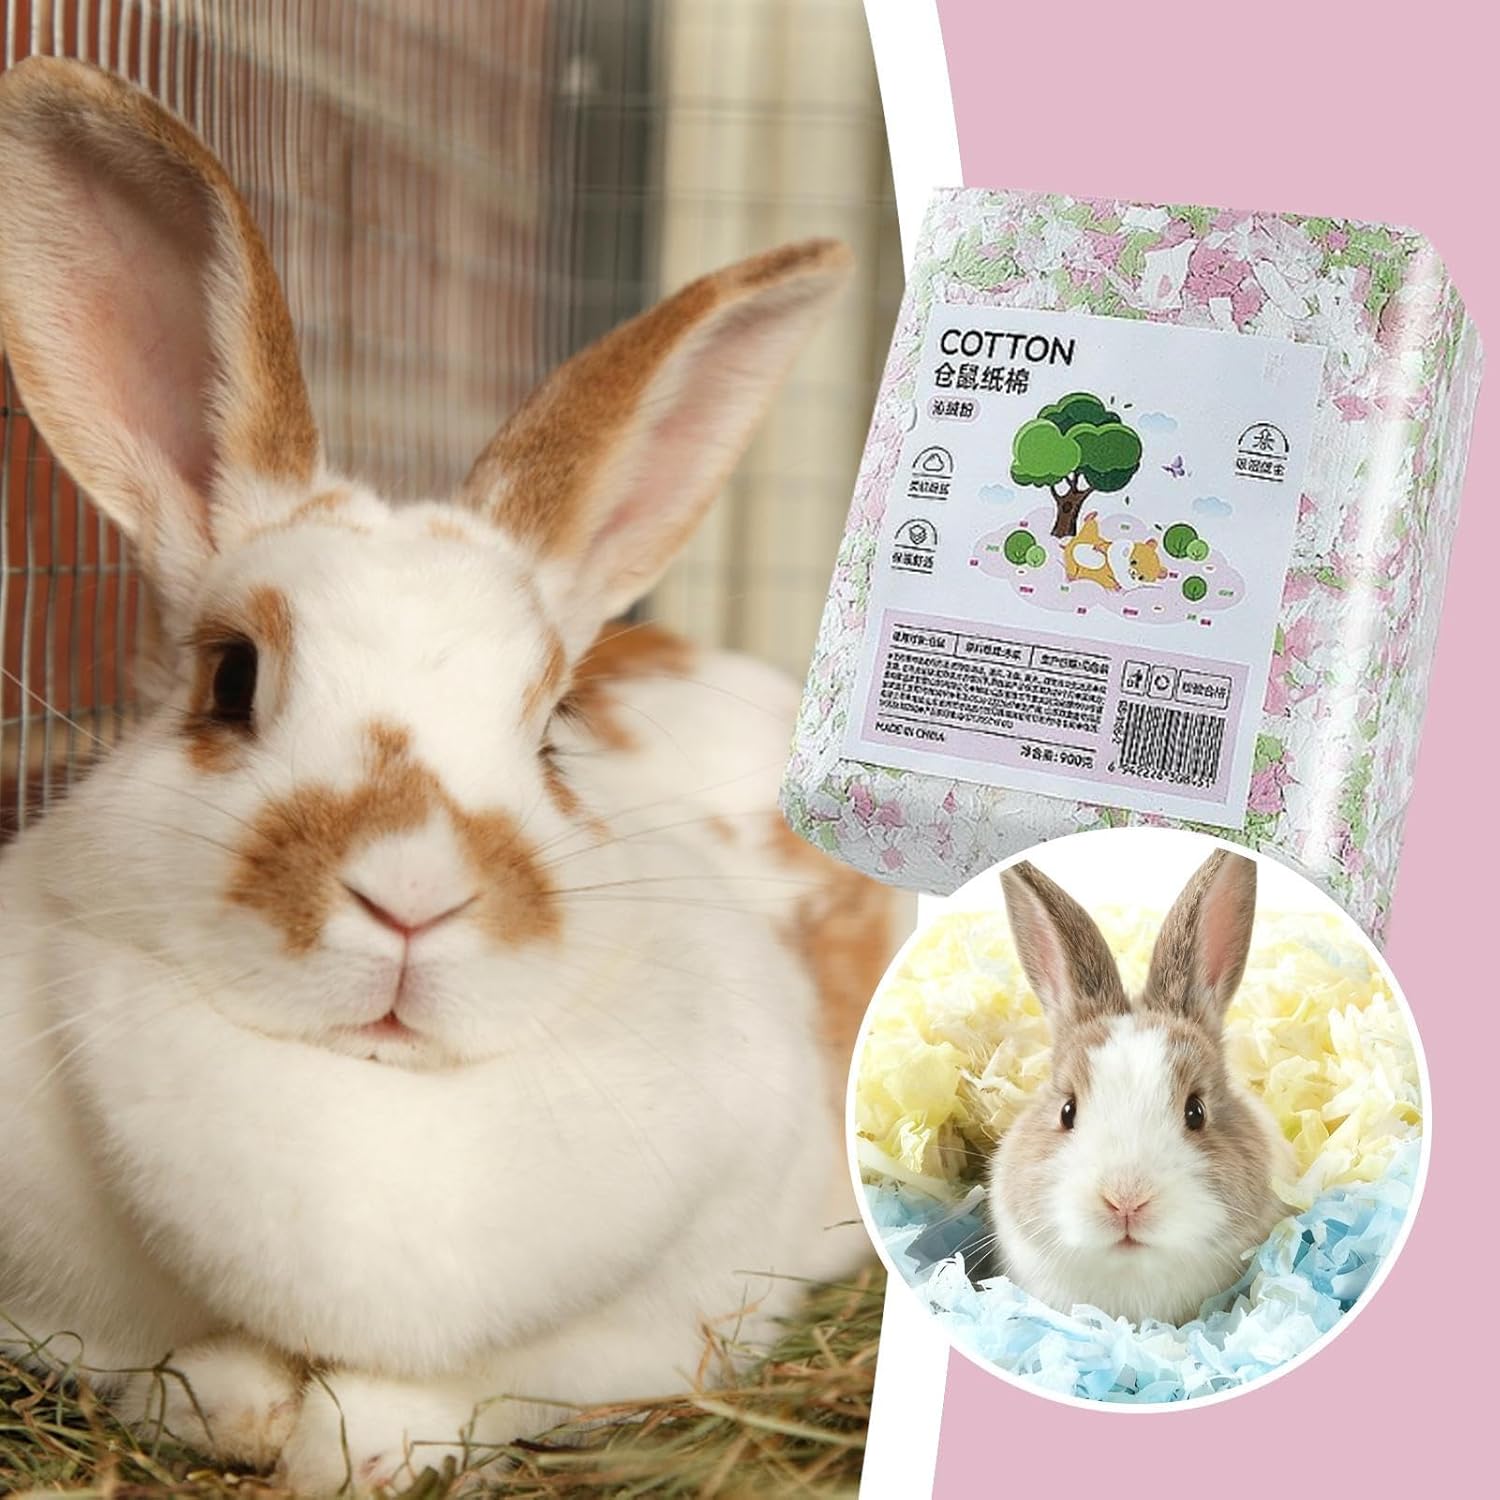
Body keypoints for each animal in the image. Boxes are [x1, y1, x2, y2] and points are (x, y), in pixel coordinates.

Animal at [0, 57, 904, 1494]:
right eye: (231, 680)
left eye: (554, 726)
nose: (411, 898)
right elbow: (185, 1378)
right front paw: (249, 1405)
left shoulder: (666, 1317)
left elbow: (450, 1398)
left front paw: (347, 1438)